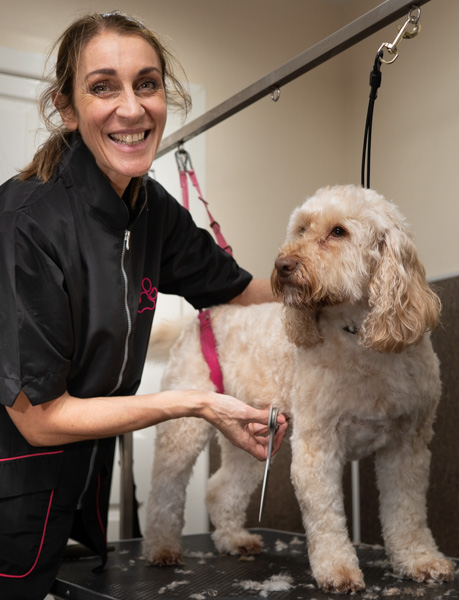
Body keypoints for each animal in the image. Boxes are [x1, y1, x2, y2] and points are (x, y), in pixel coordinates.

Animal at [146, 185, 454, 592]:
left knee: (220, 487)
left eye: (338, 232)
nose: (283, 265)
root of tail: (201, 318)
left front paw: (420, 560)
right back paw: (161, 547)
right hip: (183, 430)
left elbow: (408, 514)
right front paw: (338, 570)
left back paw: (233, 539)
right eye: (302, 229)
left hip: (251, 435)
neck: (357, 335)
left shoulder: (408, 447)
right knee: (165, 489)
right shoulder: (316, 444)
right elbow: (325, 517)